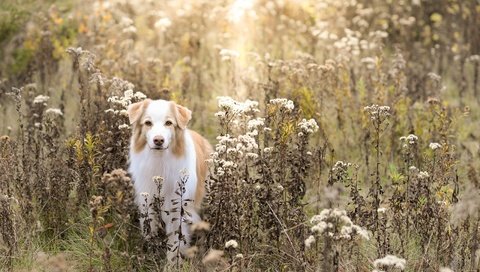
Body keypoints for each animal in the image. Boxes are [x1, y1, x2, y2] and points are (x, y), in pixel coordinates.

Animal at [125, 99, 212, 260]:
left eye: (169, 123)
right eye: (148, 123)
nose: (158, 140)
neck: (160, 160)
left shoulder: (178, 207)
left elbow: (176, 241)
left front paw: (173, 262)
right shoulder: (147, 201)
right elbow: (150, 229)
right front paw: (151, 252)